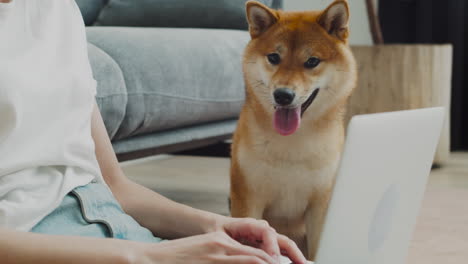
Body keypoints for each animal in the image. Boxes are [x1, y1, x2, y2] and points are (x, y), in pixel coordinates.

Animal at [231, 0, 358, 260]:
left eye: (311, 61)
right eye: (274, 57)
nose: (283, 95)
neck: (293, 144)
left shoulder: (321, 206)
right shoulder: (248, 200)